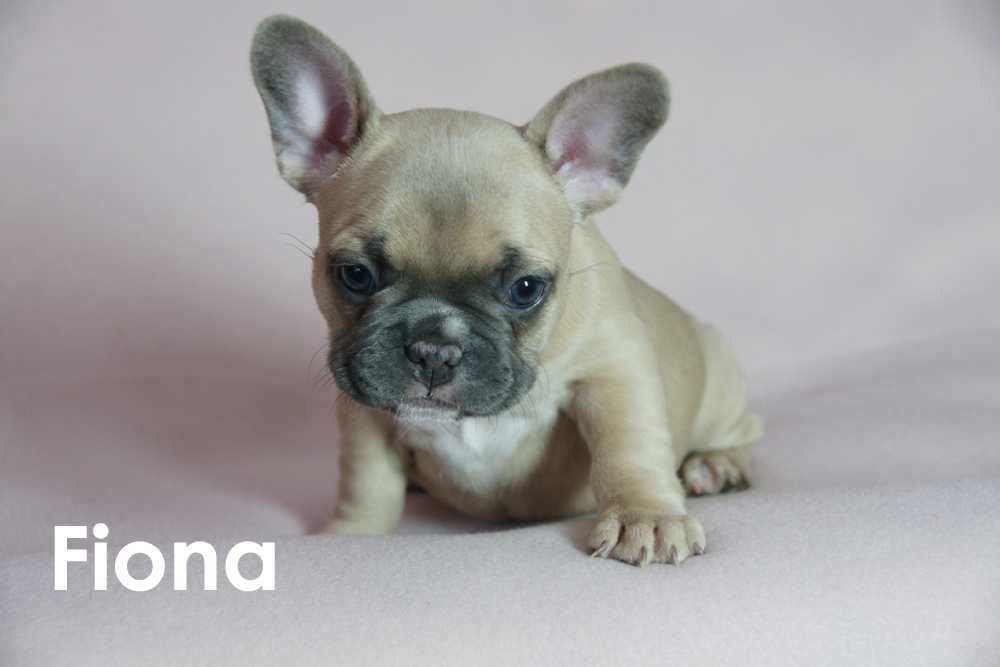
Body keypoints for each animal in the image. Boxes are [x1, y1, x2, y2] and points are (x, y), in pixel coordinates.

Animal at [250, 15, 763, 566]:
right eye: (356, 275)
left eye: (525, 289)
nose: (434, 349)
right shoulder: (364, 412)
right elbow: (366, 482)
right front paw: (351, 534)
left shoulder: (614, 370)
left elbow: (630, 444)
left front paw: (644, 515)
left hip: (721, 385)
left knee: (742, 432)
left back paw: (714, 465)